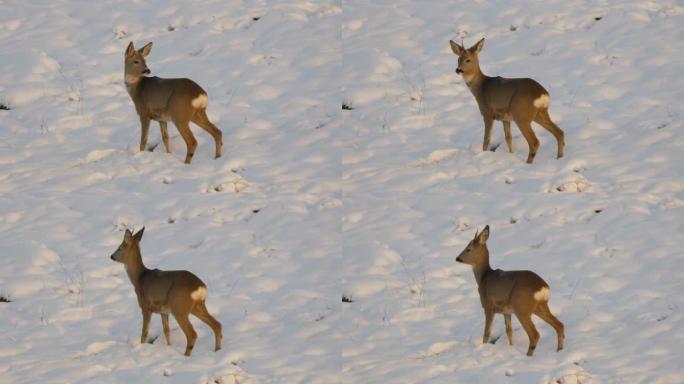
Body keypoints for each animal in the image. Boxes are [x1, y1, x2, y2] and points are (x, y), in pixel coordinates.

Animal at [109, 228, 222, 356]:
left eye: (119, 247)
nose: (111, 256)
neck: (139, 278)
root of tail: (200, 287)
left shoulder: (146, 307)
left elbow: (144, 333)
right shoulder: (164, 311)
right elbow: (166, 332)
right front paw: (169, 347)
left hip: (179, 308)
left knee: (192, 334)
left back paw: (186, 356)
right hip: (197, 306)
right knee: (217, 325)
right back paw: (217, 350)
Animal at [456, 225, 564, 356]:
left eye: (468, 249)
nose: (457, 258)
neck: (484, 277)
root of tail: (543, 287)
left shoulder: (488, 306)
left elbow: (487, 333)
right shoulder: (506, 311)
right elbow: (509, 331)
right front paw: (511, 347)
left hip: (522, 308)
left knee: (535, 334)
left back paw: (528, 356)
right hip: (539, 306)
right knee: (559, 325)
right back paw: (559, 350)